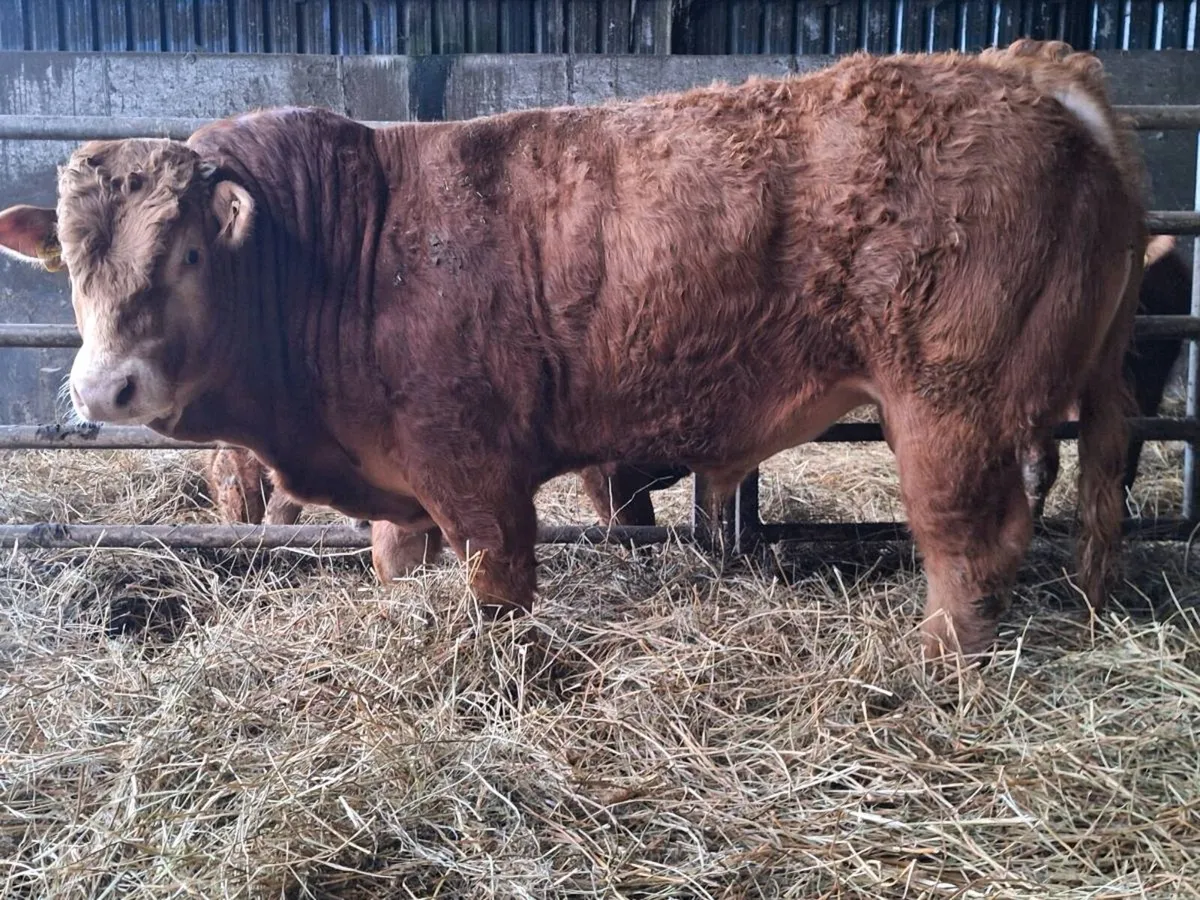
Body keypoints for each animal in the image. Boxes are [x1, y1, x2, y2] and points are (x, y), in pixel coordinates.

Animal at [0, 42, 1147, 663]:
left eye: (189, 250)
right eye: (71, 263)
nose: (104, 387)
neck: (346, 246)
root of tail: (1029, 74)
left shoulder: (475, 469)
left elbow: (497, 583)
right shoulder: (397, 477)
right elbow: (397, 564)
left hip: (951, 403)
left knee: (969, 543)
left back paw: (930, 672)